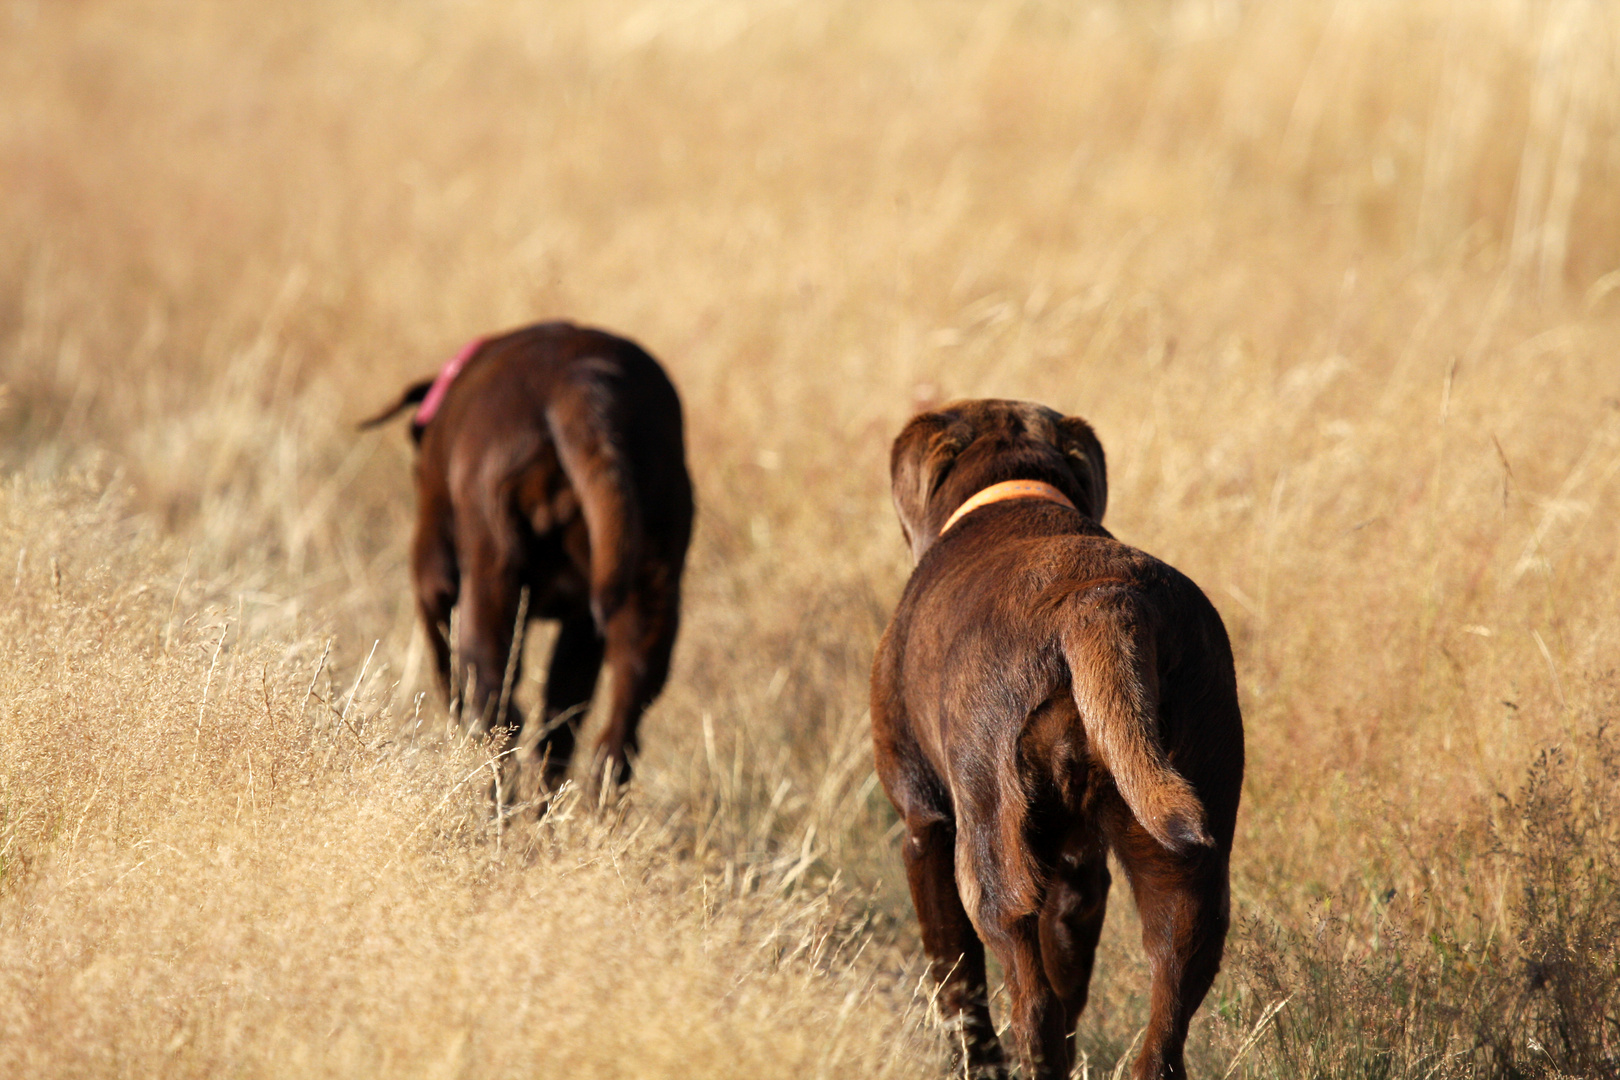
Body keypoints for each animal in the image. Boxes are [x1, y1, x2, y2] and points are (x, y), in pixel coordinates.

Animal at [874, 399, 1237, 1080]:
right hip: (1188, 864)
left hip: (989, 859)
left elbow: (956, 978)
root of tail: (1103, 605)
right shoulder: (1078, 863)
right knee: (1163, 1022)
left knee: (1031, 1004)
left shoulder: (924, 824)